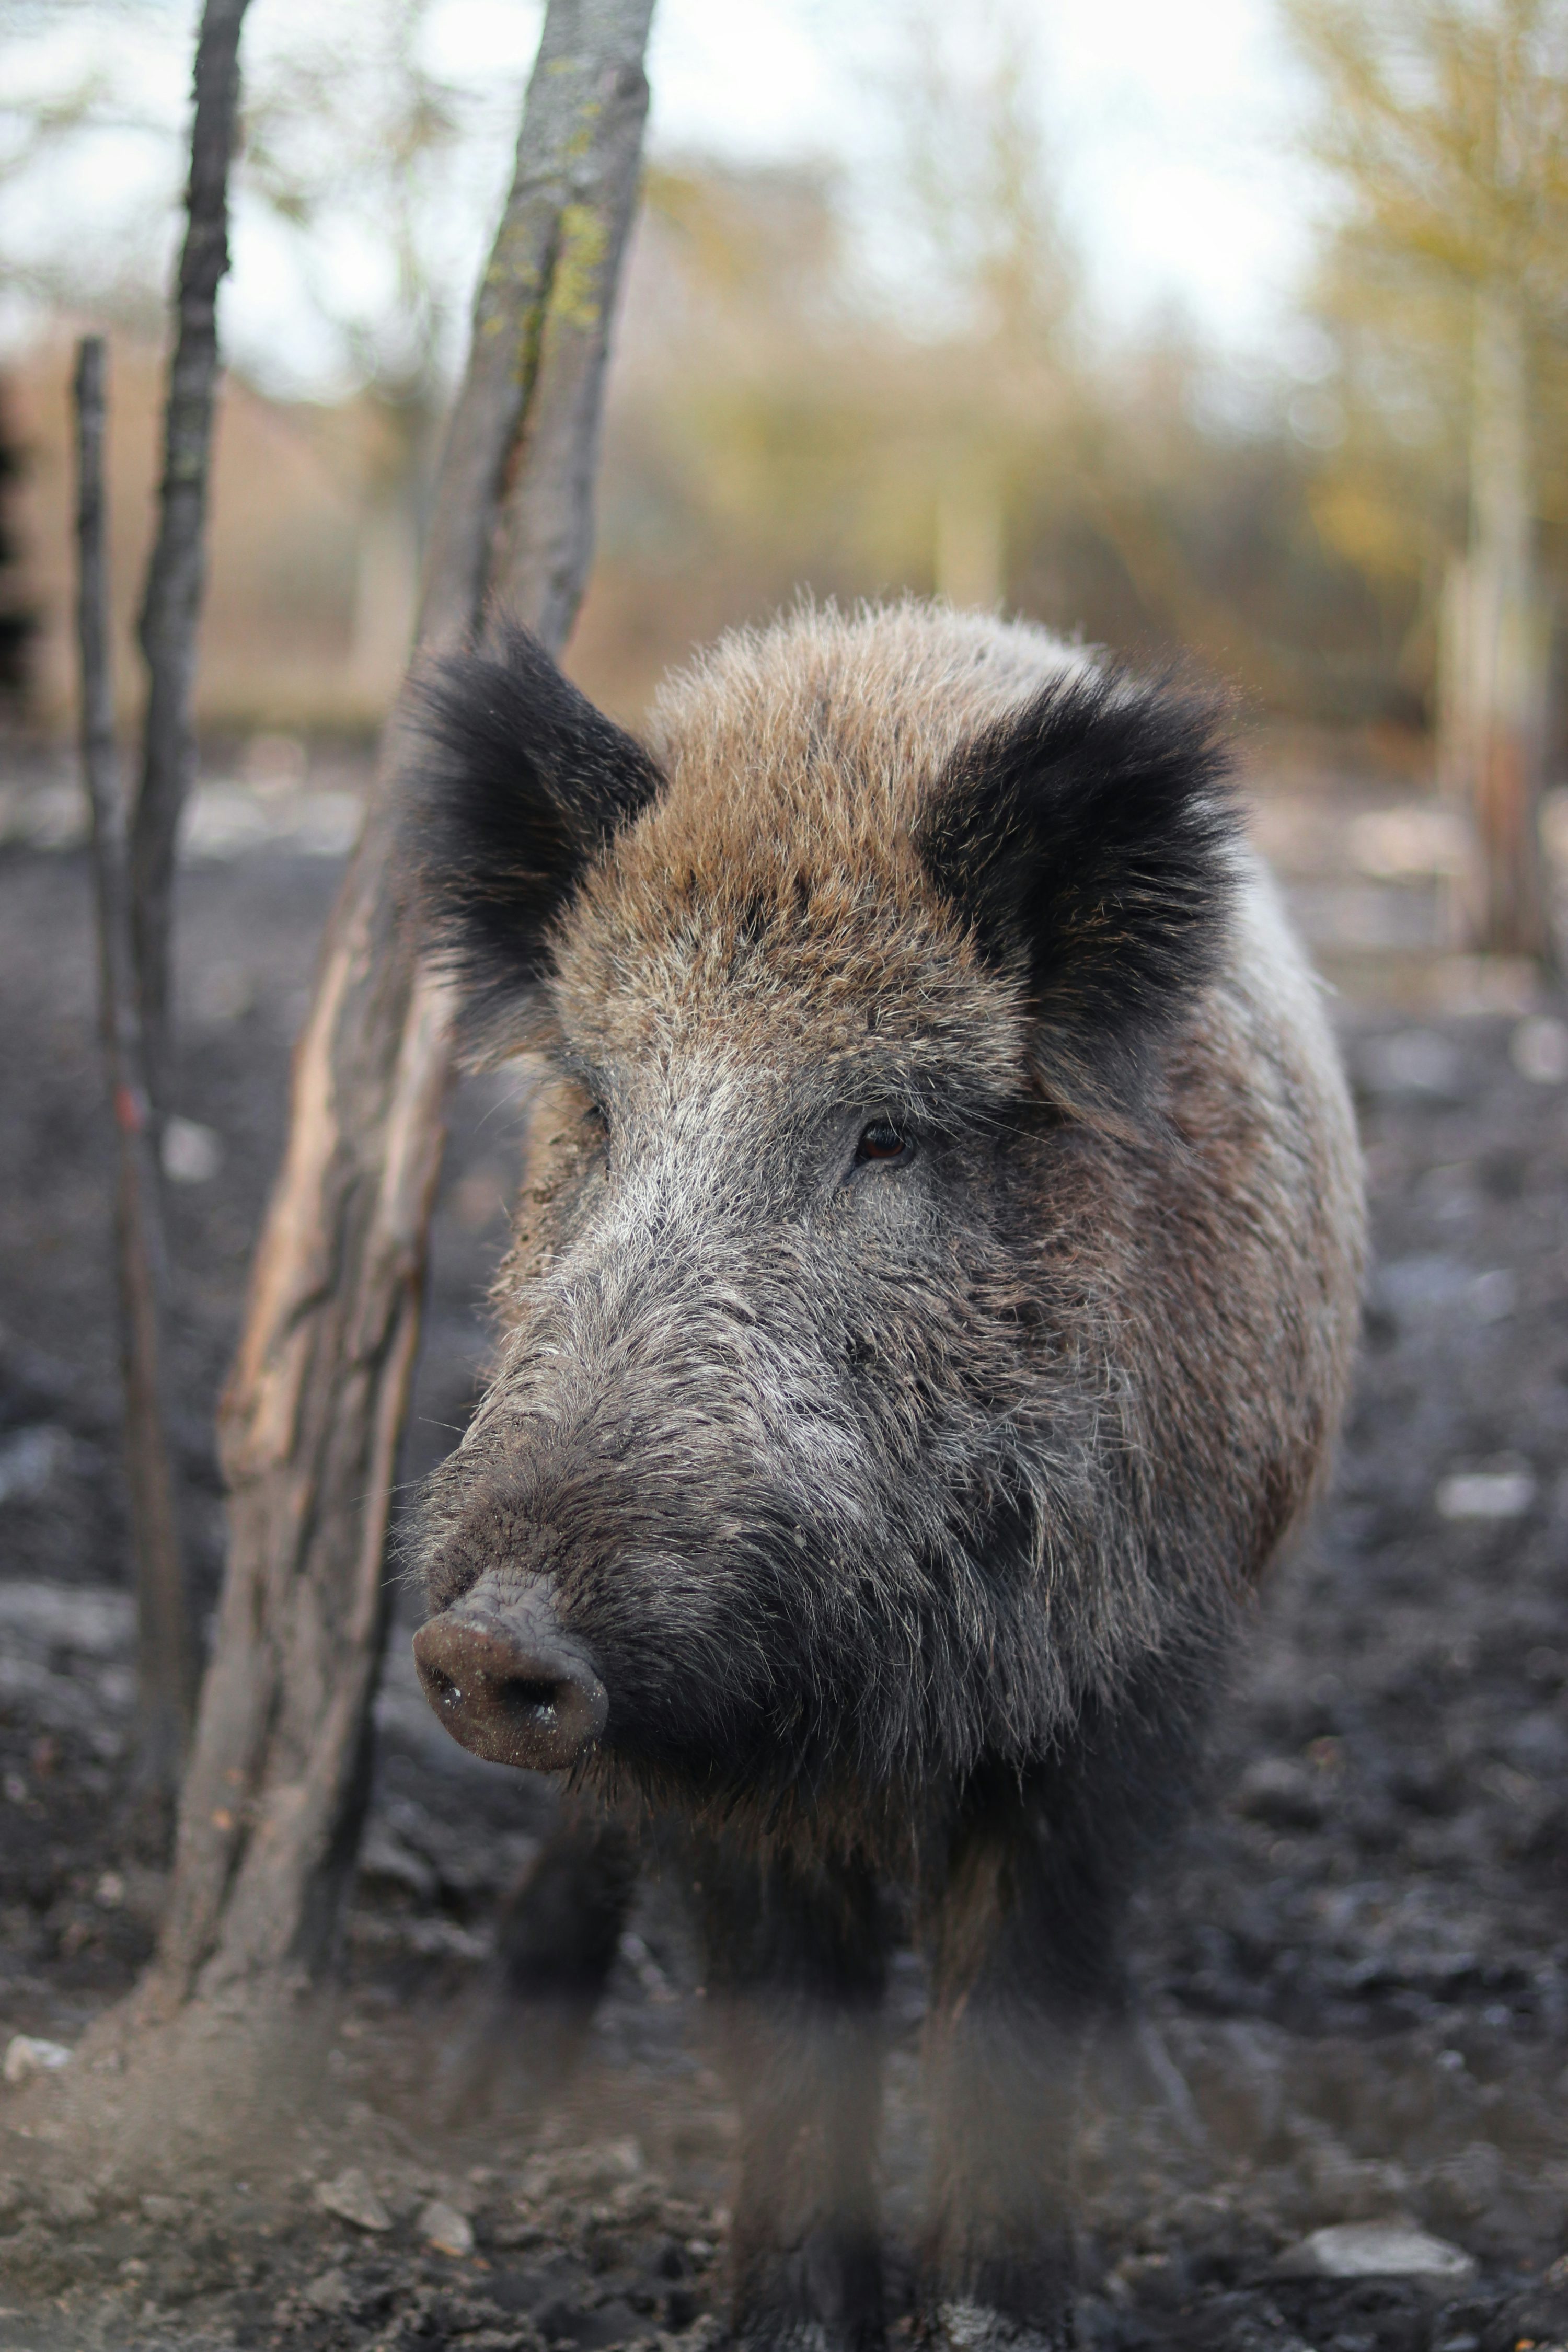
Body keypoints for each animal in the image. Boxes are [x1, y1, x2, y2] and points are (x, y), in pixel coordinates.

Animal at [403, 601, 1365, 2352]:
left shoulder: (1136, 1664)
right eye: (600, 1102)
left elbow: (1023, 1993)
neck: (888, 1668)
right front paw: (779, 2326)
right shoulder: (710, 1739)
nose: (494, 1637)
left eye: (885, 1138)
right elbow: (785, 2022)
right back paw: (475, 2093)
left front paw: (1001, 2319)